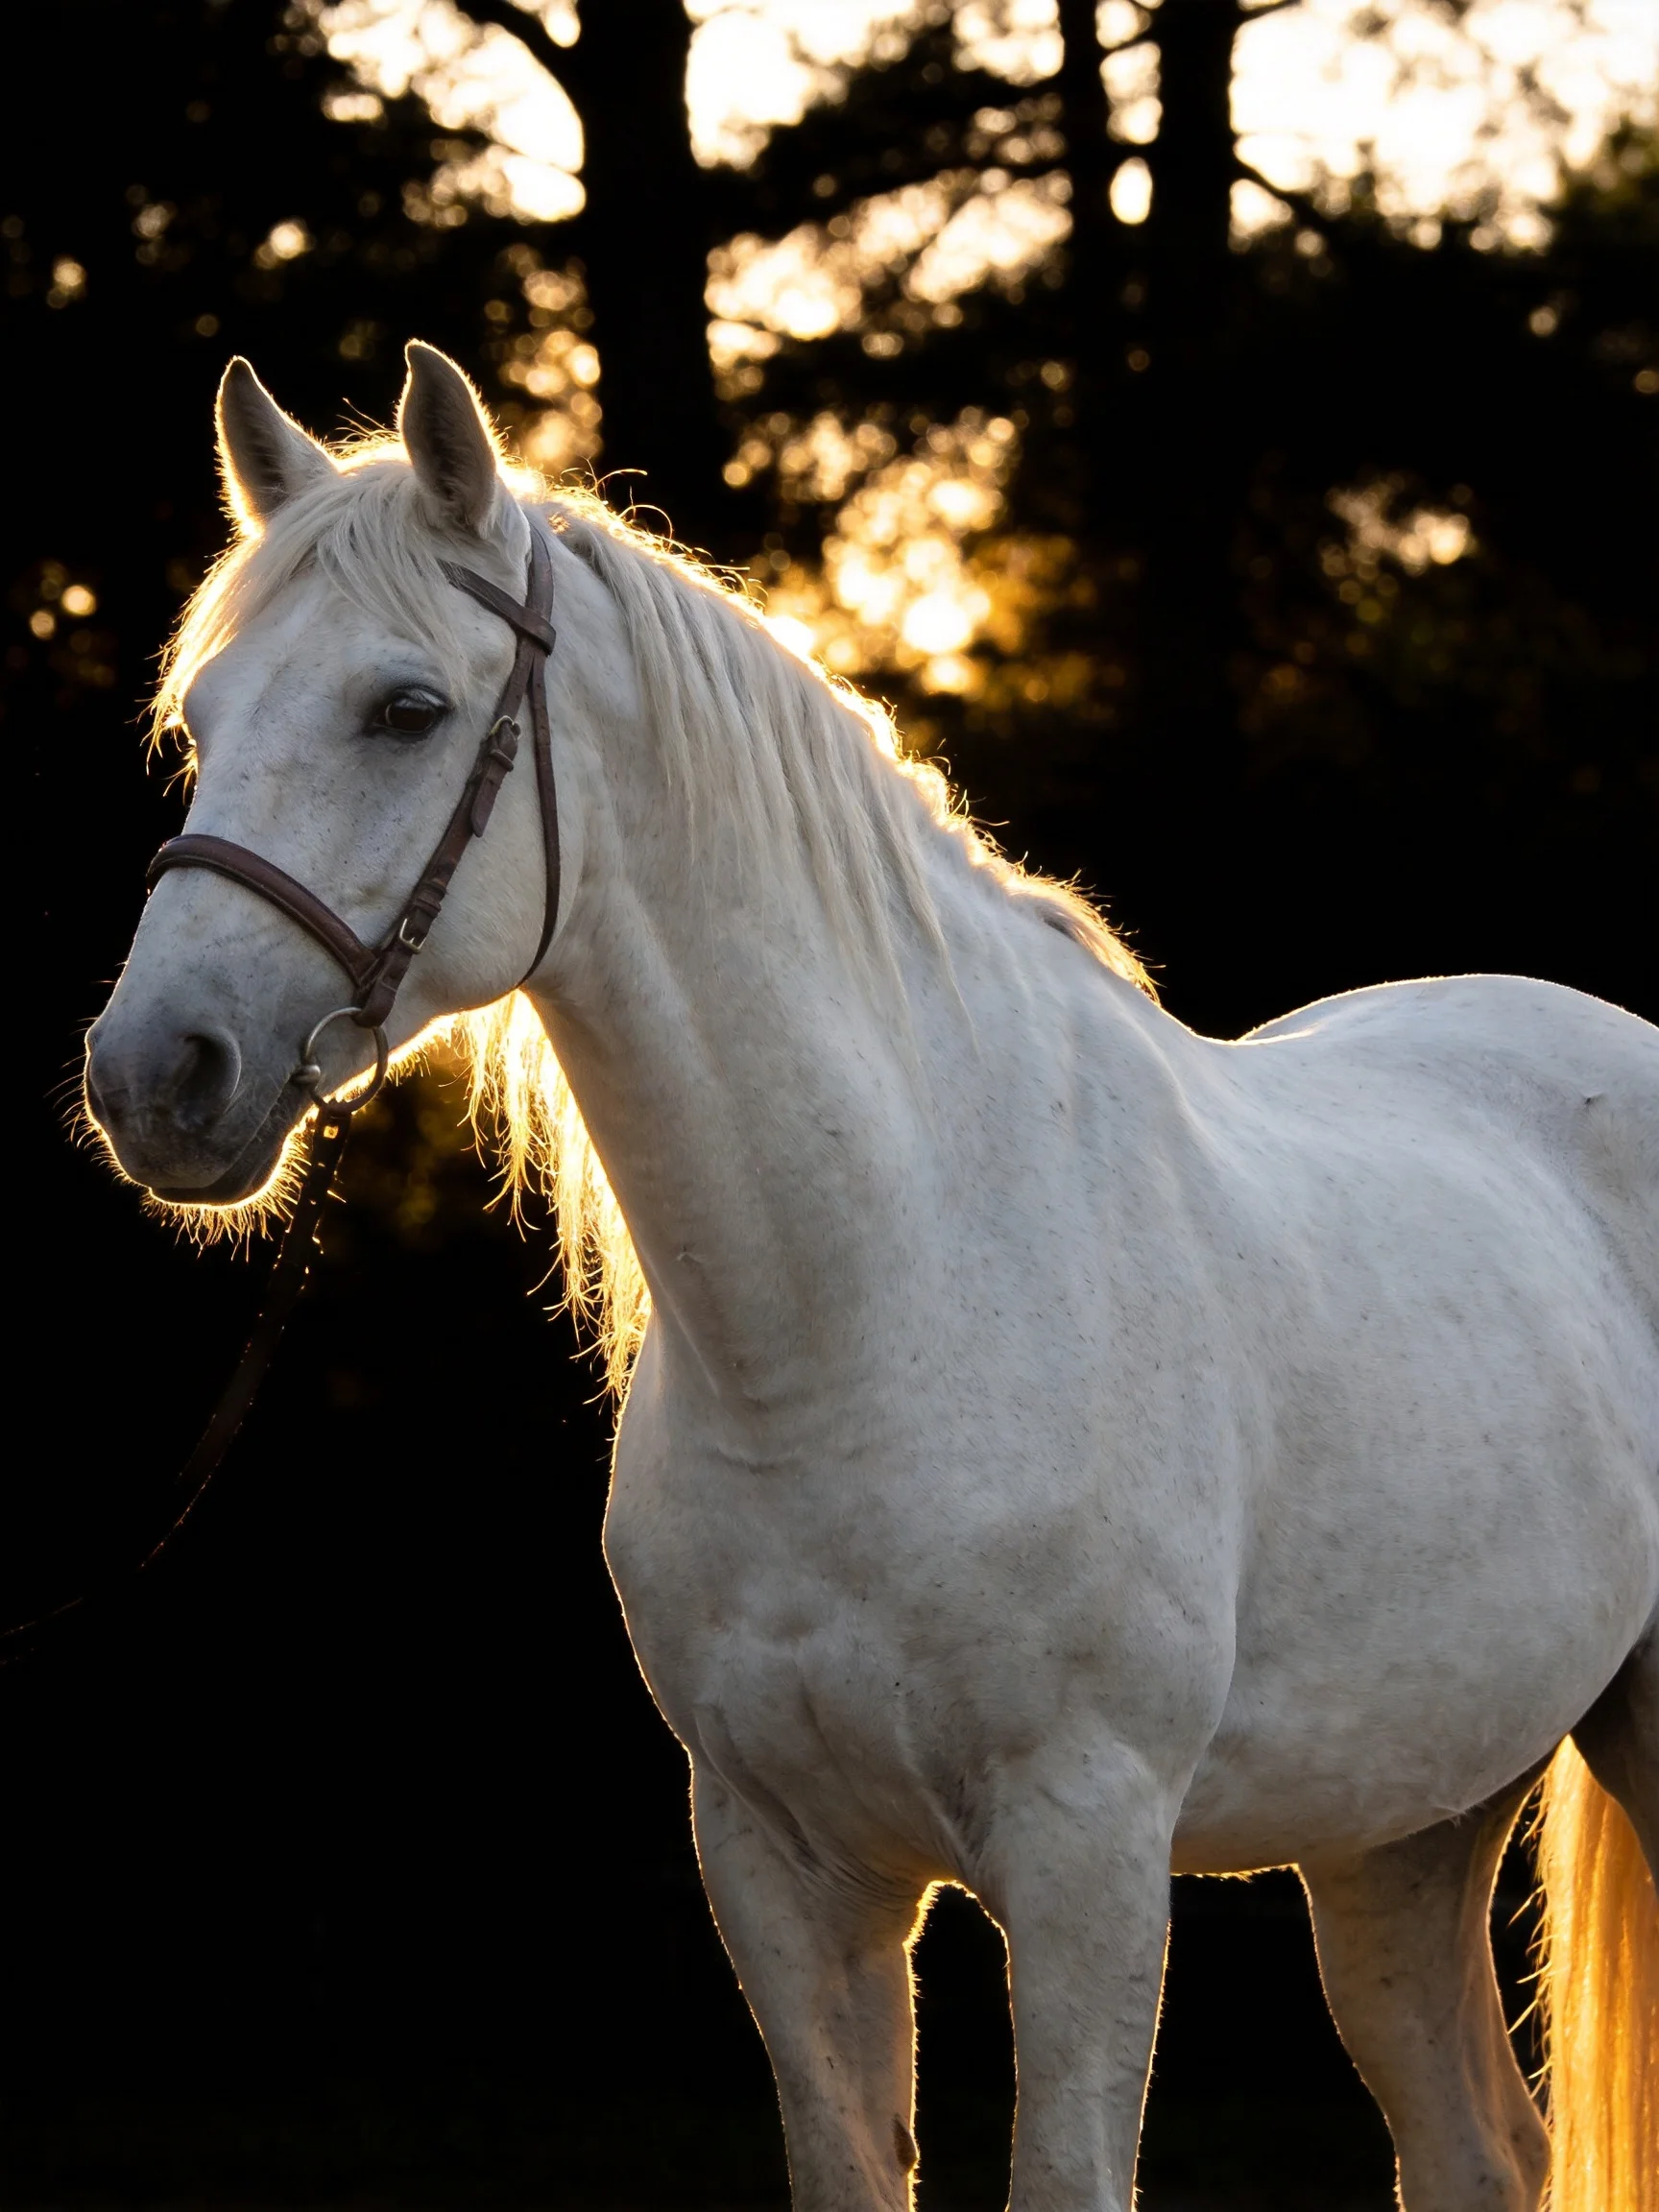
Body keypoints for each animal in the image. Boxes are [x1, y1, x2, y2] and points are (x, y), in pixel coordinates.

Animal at [84, 342, 1657, 2212]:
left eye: (403, 708)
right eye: (206, 718)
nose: (154, 1077)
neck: (870, 1302)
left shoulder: (1085, 1852)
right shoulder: (780, 1862)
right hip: (1402, 1820)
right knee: (1480, 2143)